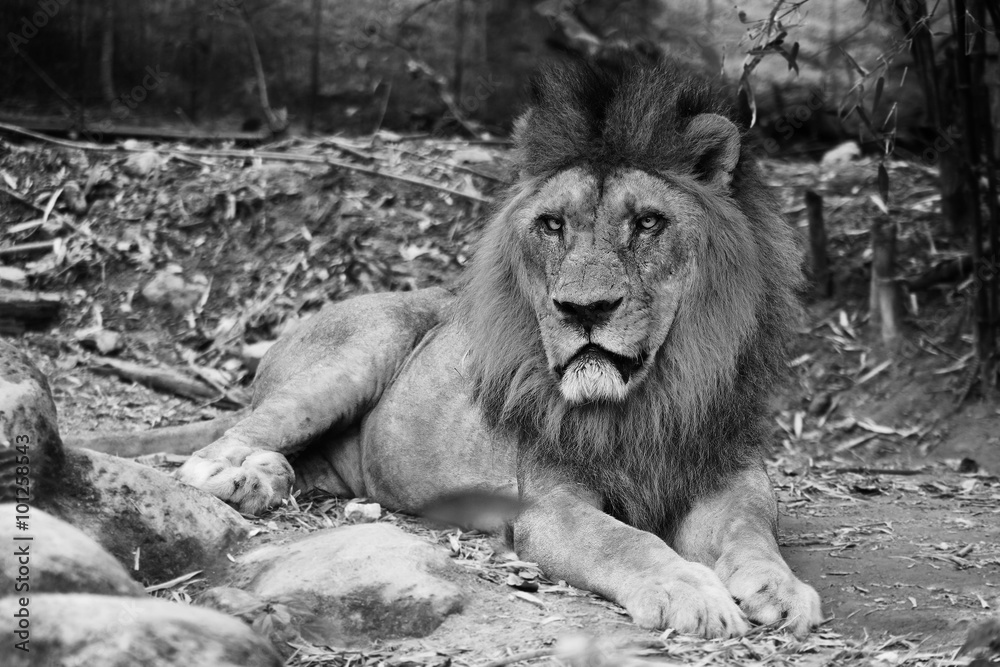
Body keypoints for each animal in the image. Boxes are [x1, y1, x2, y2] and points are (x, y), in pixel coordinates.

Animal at [176, 56, 823, 638]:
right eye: (553, 224)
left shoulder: (732, 476)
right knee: (218, 446)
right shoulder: (549, 508)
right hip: (364, 347)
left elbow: (752, 533)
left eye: (647, 223)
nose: (583, 309)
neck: (648, 399)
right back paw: (235, 478)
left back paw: (267, 478)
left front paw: (783, 590)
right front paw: (690, 592)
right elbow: (625, 541)